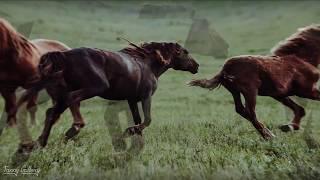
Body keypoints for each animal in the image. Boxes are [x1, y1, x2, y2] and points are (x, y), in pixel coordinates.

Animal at [18, 41, 199, 147]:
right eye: (185, 52)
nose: (196, 66)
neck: (148, 64)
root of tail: (65, 55)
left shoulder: (132, 99)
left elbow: (138, 120)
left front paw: (136, 139)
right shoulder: (146, 96)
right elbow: (147, 120)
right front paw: (127, 133)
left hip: (64, 92)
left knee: (52, 112)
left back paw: (40, 143)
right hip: (94, 88)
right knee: (71, 100)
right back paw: (72, 130)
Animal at [189, 24, 320, 139]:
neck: (301, 58)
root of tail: (225, 69)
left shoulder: (279, 94)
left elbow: (299, 109)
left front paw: (290, 126)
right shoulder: (308, 91)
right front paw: (291, 126)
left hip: (235, 91)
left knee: (241, 110)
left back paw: (268, 133)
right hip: (250, 91)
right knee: (250, 112)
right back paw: (269, 136)